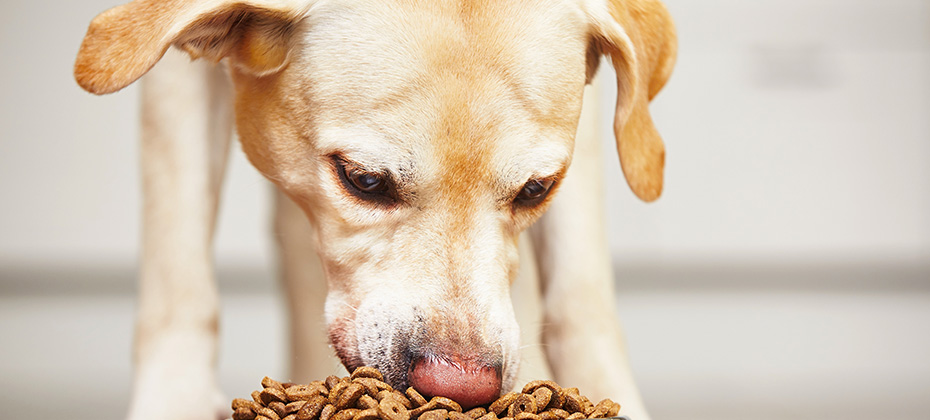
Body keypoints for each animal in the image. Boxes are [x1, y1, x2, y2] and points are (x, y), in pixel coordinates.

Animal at [72, 0, 676, 418]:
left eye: (536, 190)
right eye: (363, 180)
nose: (459, 385)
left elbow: (583, 294)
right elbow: (179, 276)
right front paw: (177, 401)